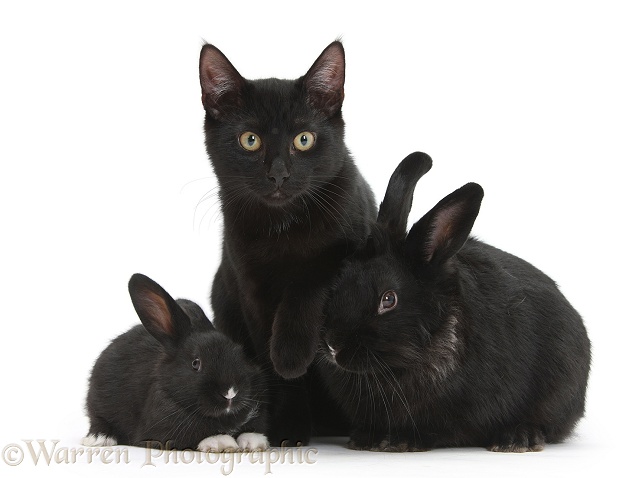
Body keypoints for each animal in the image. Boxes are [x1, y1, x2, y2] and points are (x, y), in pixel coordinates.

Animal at [82, 272, 268, 452]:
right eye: (195, 363)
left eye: (240, 353)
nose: (230, 392)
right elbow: (197, 436)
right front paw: (222, 442)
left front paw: (255, 442)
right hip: (97, 405)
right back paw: (99, 438)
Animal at [196, 41, 376, 444]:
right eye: (250, 140)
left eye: (303, 140)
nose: (278, 174)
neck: (283, 228)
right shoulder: (251, 288)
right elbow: (272, 364)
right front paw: (288, 427)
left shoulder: (350, 242)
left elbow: (309, 279)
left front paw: (291, 352)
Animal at [318, 152, 592, 452]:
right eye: (340, 278)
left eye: (388, 299)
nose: (333, 345)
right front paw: (366, 438)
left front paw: (401, 441)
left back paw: (518, 438)